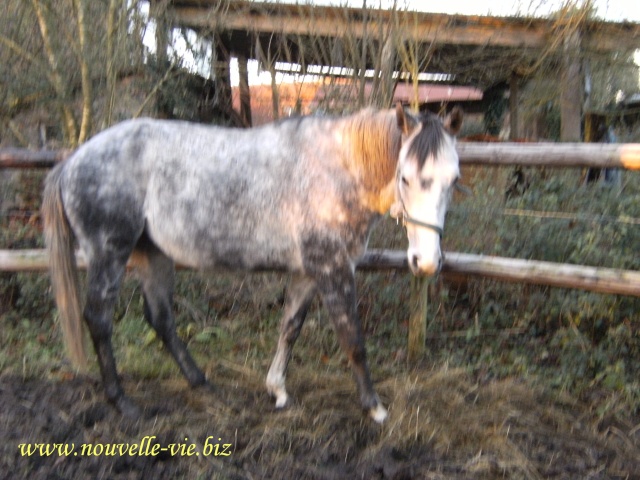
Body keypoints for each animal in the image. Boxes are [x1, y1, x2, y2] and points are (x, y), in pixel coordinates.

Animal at [42, 104, 462, 420]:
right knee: (99, 319)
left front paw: (277, 390)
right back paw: (123, 402)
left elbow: (289, 328)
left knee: (160, 319)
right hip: (109, 253)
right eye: (404, 177)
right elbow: (353, 339)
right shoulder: (332, 269)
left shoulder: (307, 273)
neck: (338, 170)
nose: (426, 262)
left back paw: (202, 383)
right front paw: (374, 408)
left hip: (152, 254)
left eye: (454, 180)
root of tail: (73, 160)